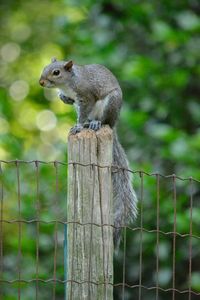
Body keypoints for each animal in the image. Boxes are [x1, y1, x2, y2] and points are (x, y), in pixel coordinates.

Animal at [38, 57, 137, 247]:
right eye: (45, 67)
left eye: (56, 72)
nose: (41, 82)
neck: (69, 83)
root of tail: (114, 125)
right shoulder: (75, 100)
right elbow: (69, 101)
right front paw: (63, 98)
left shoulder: (86, 96)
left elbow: (84, 111)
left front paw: (78, 125)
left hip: (110, 105)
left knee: (102, 121)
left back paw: (94, 123)